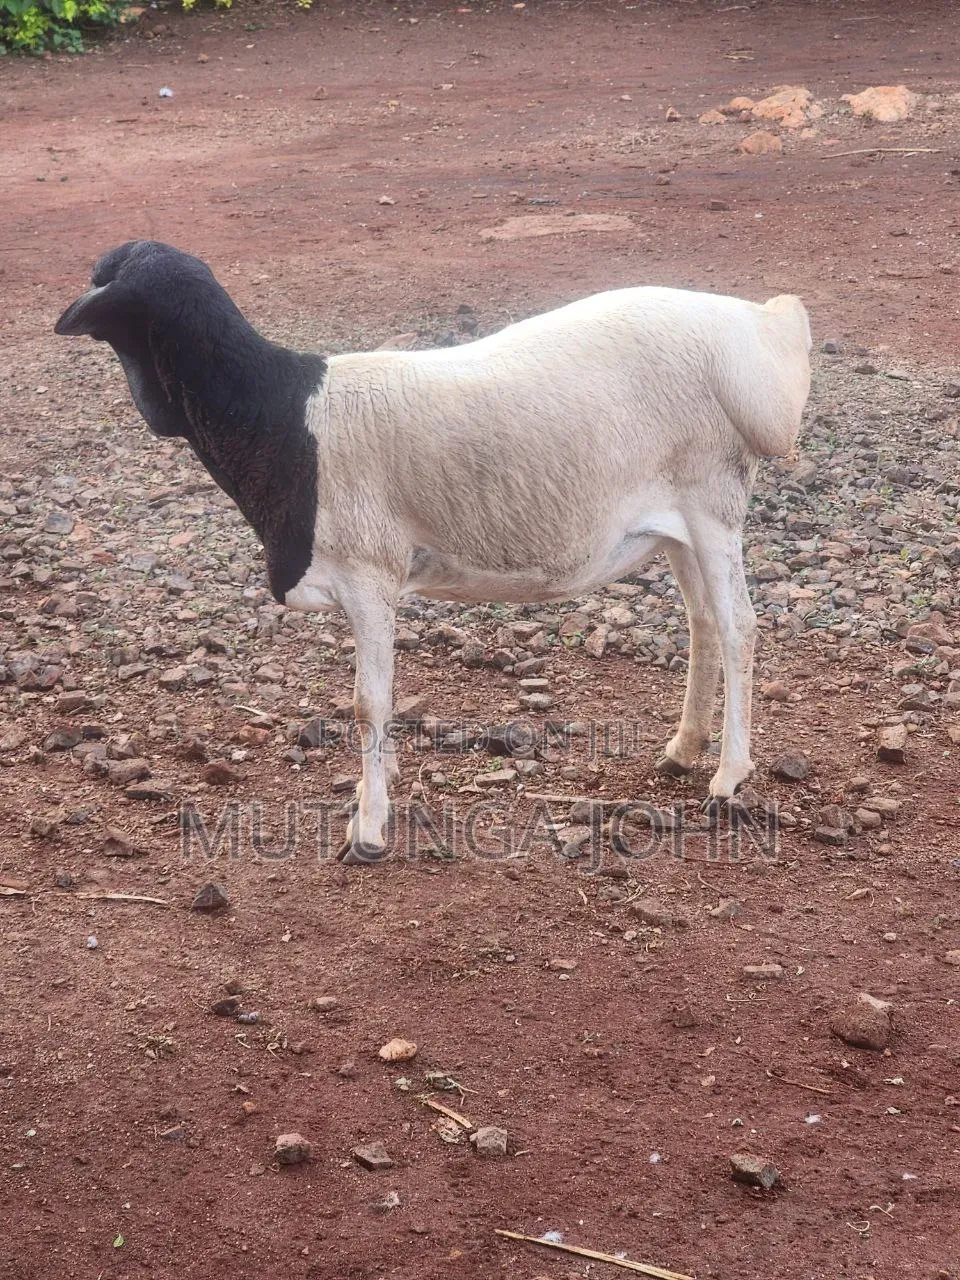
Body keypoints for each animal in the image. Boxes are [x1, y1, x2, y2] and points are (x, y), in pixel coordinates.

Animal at [55, 240, 812, 865]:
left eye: (120, 299)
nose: (67, 318)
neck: (285, 418)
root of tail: (760, 332)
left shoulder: (369, 576)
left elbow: (368, 703)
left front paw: (368, 829)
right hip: (677, 523)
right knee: (704, 623)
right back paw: (682, 750)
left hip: (713, 504)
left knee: (739, 627)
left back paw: (728, 777)